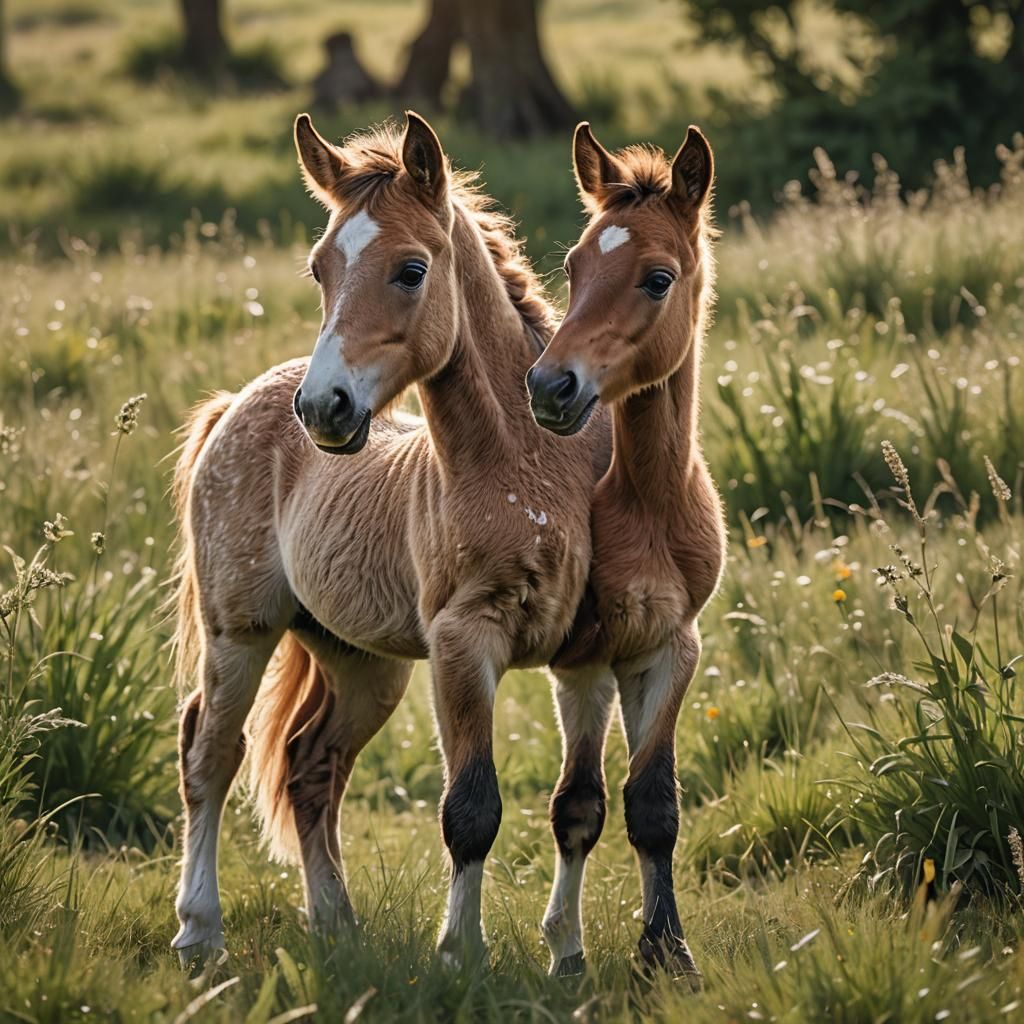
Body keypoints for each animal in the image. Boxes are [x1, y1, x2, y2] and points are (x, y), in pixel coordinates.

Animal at [169, 111, 612, 972]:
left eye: (411, 270)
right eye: (319, 270)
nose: (326, 409)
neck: (533, 471)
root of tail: (240, 400)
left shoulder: (591, 652)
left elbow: (568, 802)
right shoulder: (462, 646)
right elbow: (471, 807)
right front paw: (460, 956)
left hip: (362, 663)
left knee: (310, 765)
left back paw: (335, 922)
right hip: (240, 632)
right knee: (211, 754)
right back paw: (199, 930)